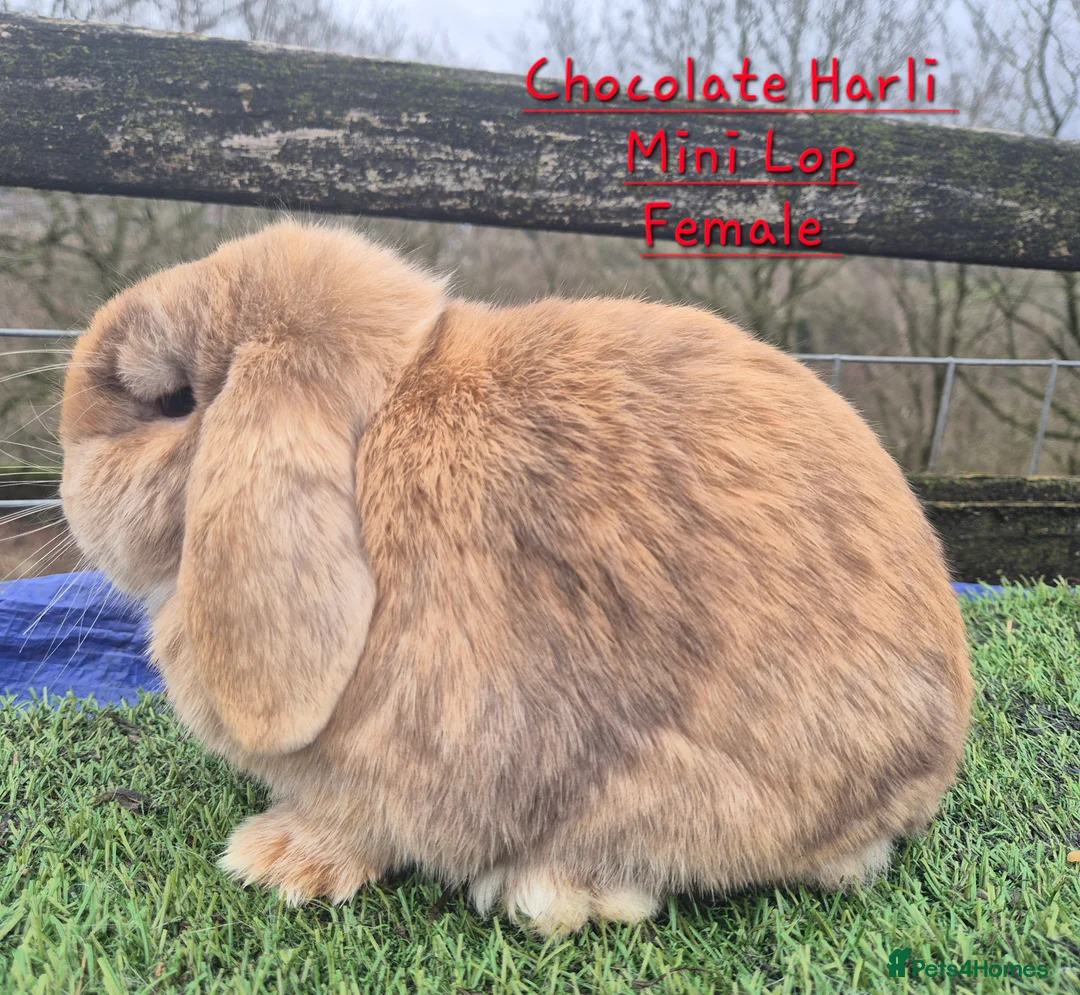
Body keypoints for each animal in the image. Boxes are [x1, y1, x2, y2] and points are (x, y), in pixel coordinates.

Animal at [59, 218, 973, 937]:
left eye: (173, 401)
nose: (66, 482)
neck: (380, 431)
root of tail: (925, 776)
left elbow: (360, 821)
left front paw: (272, 858)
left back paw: (543, 890)